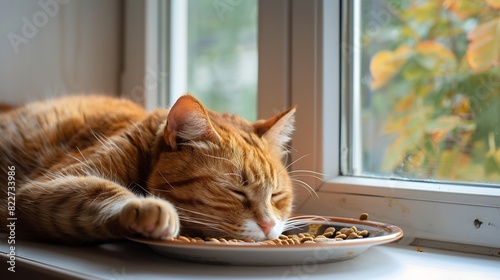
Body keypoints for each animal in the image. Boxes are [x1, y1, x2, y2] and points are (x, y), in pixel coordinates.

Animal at [0, 94, 294, 243]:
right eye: (234, 192)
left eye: (277, 196)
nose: (268, 225)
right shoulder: (42, 188)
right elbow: (102, 190)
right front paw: (149, 207)